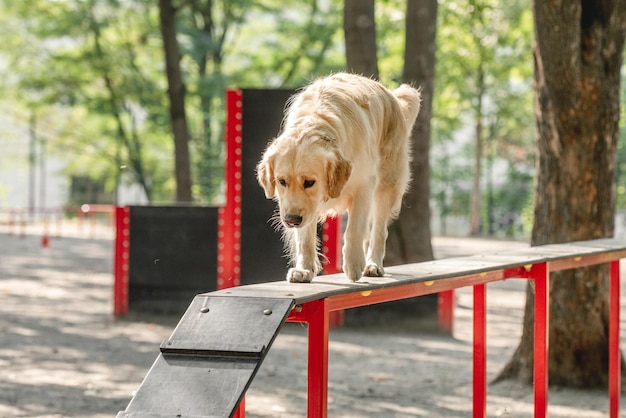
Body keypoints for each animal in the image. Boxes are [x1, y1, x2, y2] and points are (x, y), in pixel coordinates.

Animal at [254, 73, 420, 284]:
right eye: (282, 182)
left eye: (309, 182)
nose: (291, 220)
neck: (317, 121)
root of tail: (391, 97)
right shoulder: (300, 207)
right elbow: (304, 238)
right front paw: (304, 269)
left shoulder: (363, 185)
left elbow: (354, 230)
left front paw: (354, 264)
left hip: (387, 183)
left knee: (379, 229)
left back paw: (373, 264)